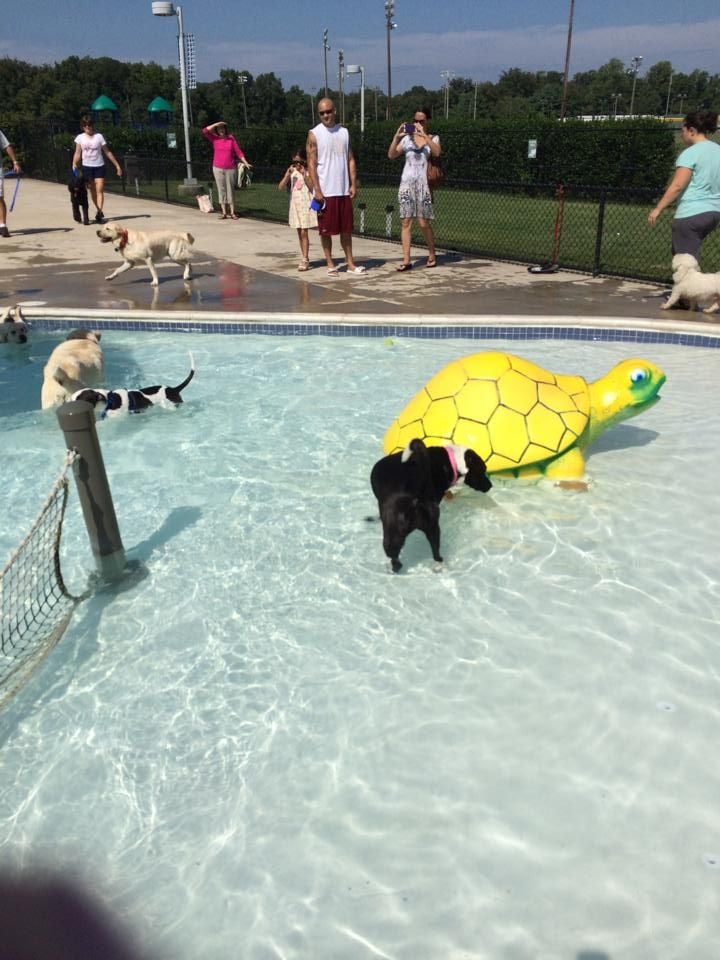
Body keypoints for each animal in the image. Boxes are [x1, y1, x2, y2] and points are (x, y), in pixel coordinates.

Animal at [368, 438, 492, 572]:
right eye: (483, 471)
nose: (490, 486)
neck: (452, 461)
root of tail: (414, 496)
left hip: (396, 533)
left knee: (398, 560)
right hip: (431, 526)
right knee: (435, 553)